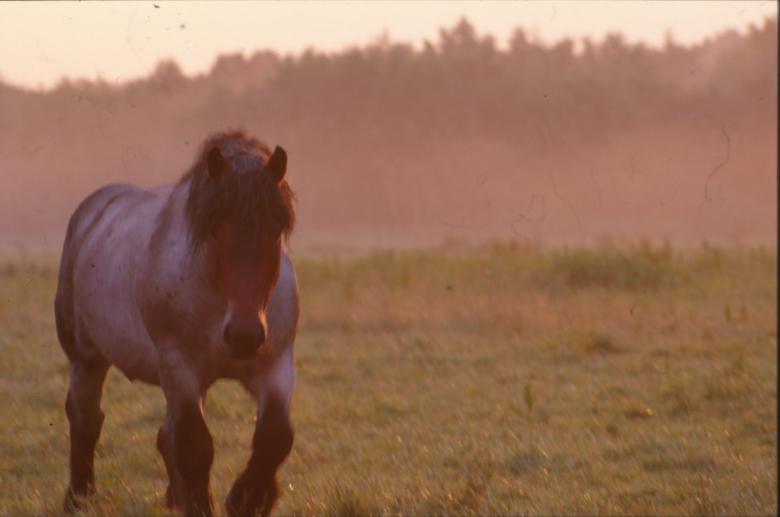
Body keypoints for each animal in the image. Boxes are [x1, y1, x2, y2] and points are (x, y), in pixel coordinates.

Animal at [54, 131, 299, 517]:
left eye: (276, 228)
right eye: (214, 228)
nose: (244, 336)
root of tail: (91, 212)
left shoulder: (275, 365)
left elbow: (275, 436)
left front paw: (248, 498)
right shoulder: (180, 366)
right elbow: (193, 445)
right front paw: (207, 504)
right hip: (87, 358)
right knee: (85, 418)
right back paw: (79, 498)